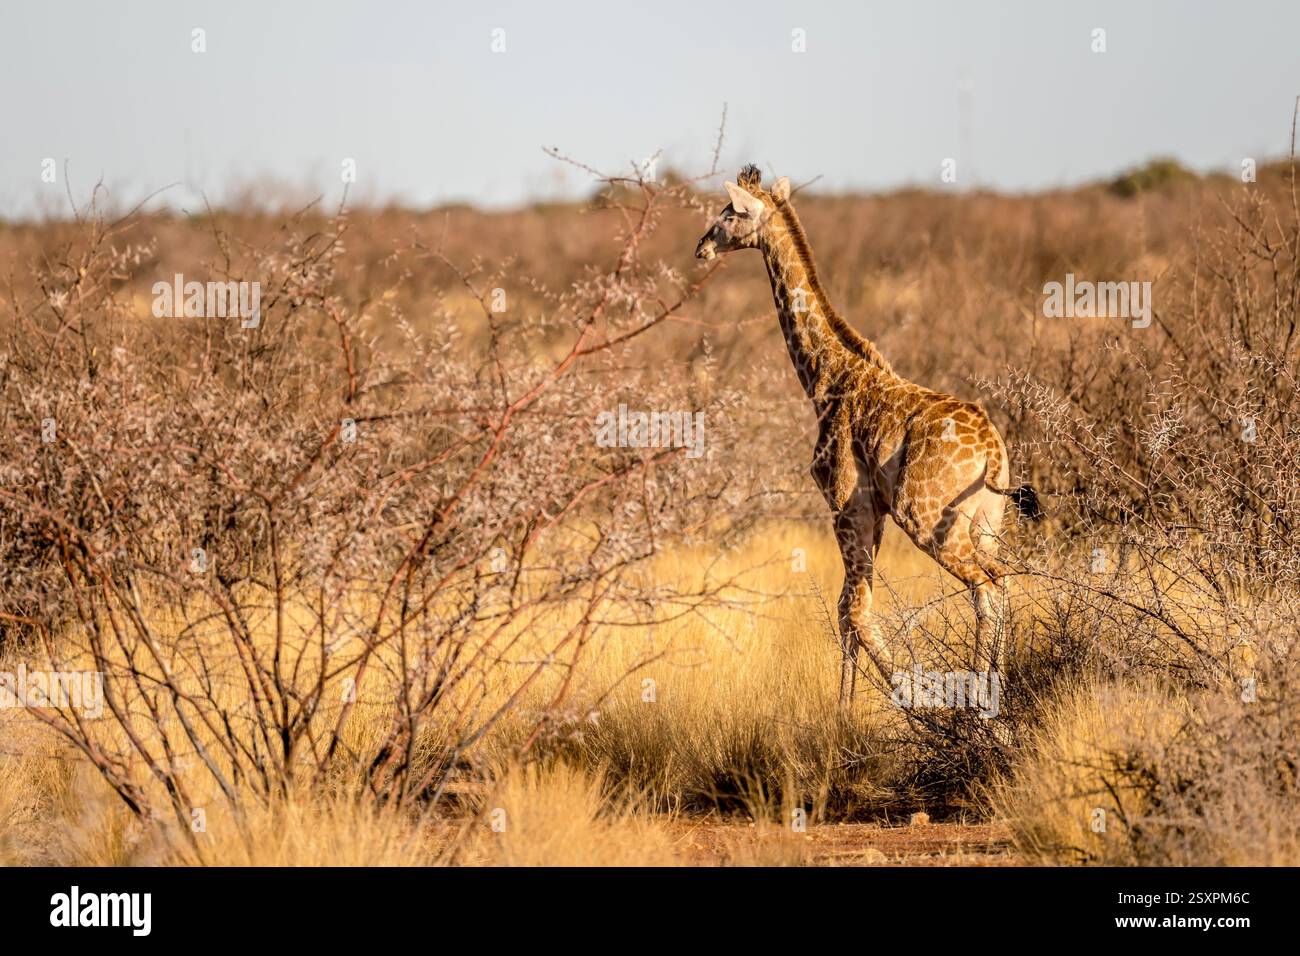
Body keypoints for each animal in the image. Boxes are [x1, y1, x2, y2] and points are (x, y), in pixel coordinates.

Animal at [695, 165, 1042, 701]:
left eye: (731, 212)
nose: (702, 247)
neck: (825, 377)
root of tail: (992, 453)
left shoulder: (846, 503)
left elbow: (854, 611)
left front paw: (901, 703)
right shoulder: (872, 511)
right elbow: (850, 609)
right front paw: (849, 708)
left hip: (927, 518)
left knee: (983, 589)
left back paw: (974, 703)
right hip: (987, 521)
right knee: (1002, 582)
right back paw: (994, 691)